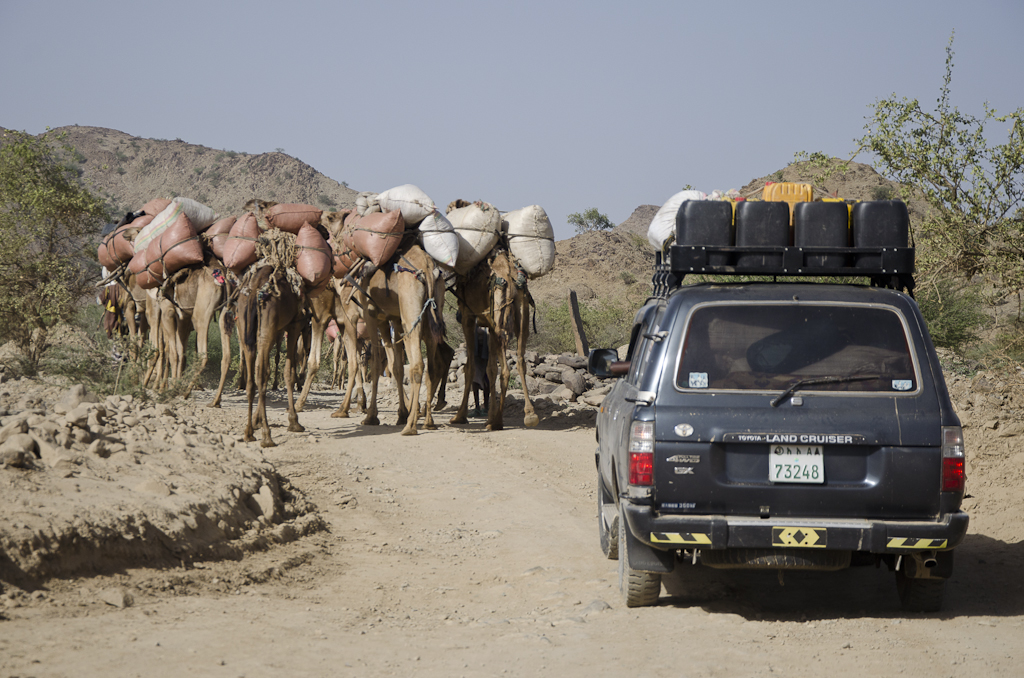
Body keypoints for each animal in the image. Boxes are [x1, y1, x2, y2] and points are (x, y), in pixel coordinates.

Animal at [450, 251, 540, 432]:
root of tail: (510, 278)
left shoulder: (467, 316)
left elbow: (470, 367)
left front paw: (460, 416)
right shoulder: (490, 326)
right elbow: (490, 369)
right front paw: (490, 416)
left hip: (499, 315)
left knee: (505, 369)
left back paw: (497, 422)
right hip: (521, 313)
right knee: (520, 361)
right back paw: (529, 415)